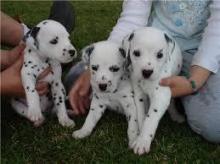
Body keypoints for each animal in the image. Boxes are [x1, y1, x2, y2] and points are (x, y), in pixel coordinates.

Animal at [123, 27, 185, 155]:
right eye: (136, 53)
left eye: (160, 54)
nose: (147, 72)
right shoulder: (140, 95)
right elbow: (142, 115)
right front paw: (139, 134)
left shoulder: (161, 96)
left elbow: (150, 118)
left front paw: (143, 141)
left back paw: (176, 115)